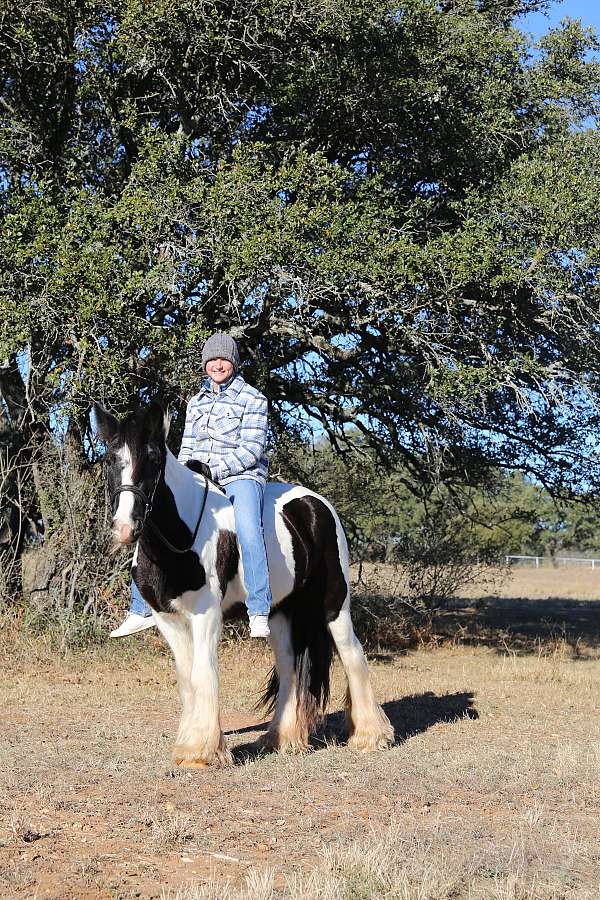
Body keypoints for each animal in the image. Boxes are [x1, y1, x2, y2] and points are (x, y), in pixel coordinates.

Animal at [94, 400, 394, 768]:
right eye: (109, 460)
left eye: (152, 460)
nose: (125, 528)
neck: (182, 540)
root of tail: (316, 505)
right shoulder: (167, 618)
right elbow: (187, 678)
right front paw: (190, 745)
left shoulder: (207, 614)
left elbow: (203, 673)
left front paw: (202, 752)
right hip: (280, 613)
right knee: (289, 667)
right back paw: (282, 739)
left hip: (335, 604)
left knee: (353, 656)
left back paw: (370, 736)